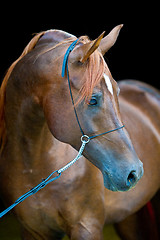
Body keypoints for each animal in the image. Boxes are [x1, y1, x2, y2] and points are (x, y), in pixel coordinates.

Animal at [0, 24, 158, 240]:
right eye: (92, 99)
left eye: (117, 92)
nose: (135, 172)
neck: (35, 166)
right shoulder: (33, 230)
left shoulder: (86, 226)